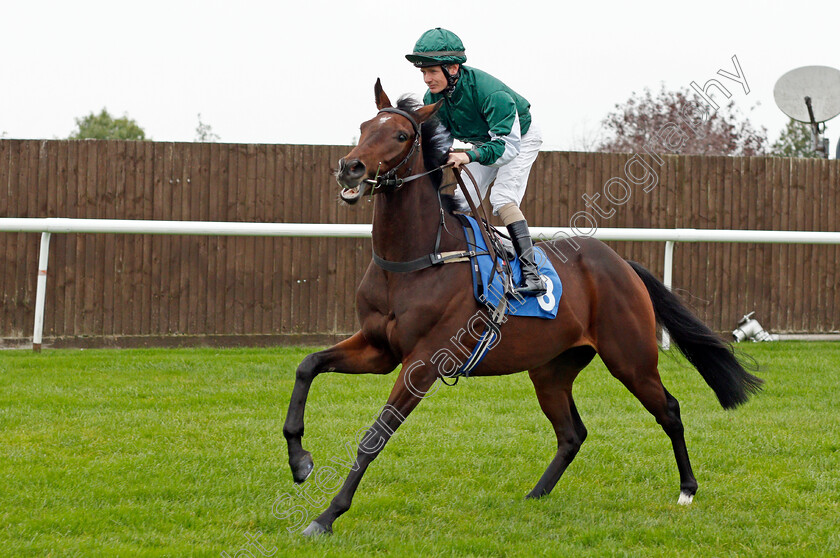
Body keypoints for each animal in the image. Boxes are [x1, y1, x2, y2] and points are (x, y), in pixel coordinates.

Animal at [282, 80, 760, 540]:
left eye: (400, 135)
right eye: (364, 126)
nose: (350, 167)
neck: (418, 259)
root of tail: (622, 264)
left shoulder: (424, 362)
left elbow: (375, 435)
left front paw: (326, 516)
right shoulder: (379, 349)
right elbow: (308, 365)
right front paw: (300, 461)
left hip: (631, 359)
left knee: (670, 411)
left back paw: (687, 489)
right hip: (551, 369)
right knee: (572, 433)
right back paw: (537, 493)